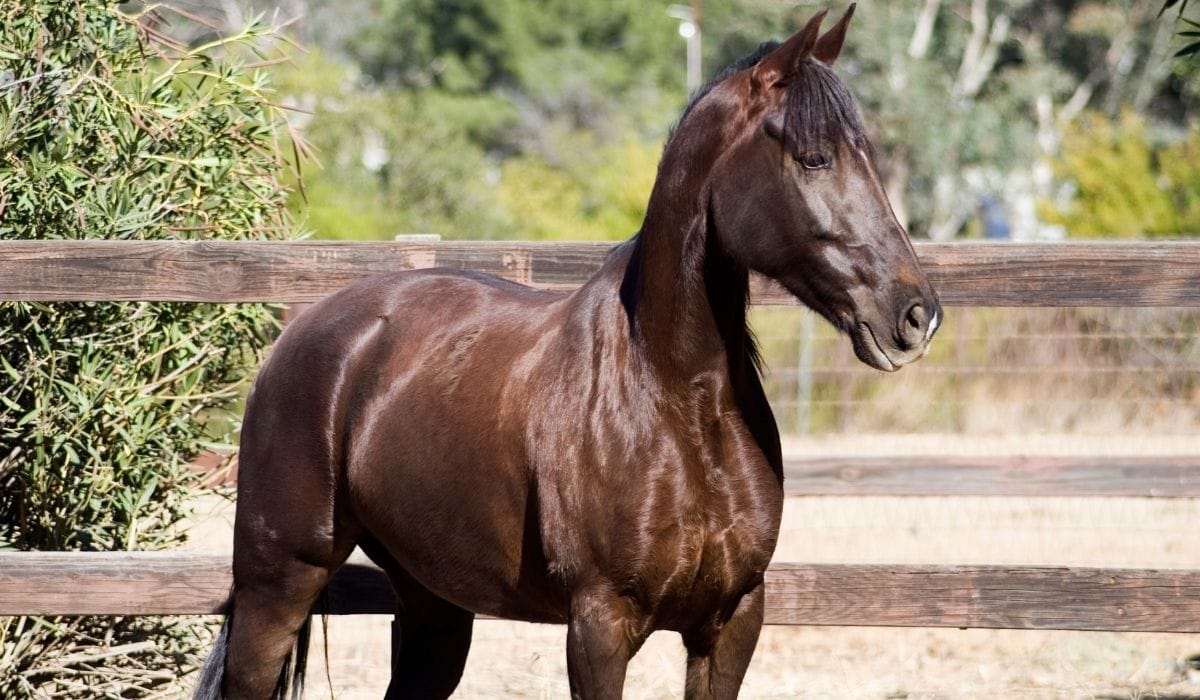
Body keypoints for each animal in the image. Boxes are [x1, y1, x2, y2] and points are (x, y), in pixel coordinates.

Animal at [194, 5, 940, 698]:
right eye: (815, 157)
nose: (915, 315)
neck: (676, 399)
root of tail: (304, 334)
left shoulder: (731, 622)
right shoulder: (599, 625)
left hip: (433, 606)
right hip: (277, 584)